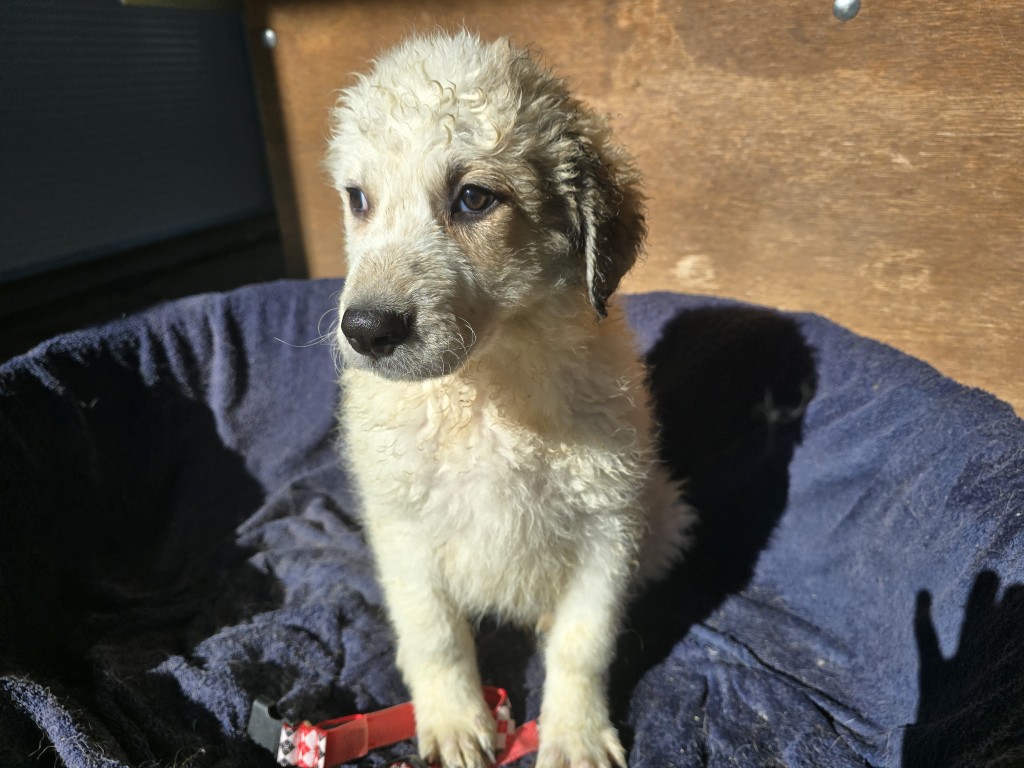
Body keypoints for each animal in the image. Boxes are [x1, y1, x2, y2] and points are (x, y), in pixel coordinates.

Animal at [326, 30, 694, 768]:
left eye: (473, 200)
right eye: (359, 199)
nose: (367, 331)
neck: (485, 391)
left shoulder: (609, 529)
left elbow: (583, 645)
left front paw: (573, 735)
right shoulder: (403, 530)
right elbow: (436, 637)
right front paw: (455, 723)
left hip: (666, 518)